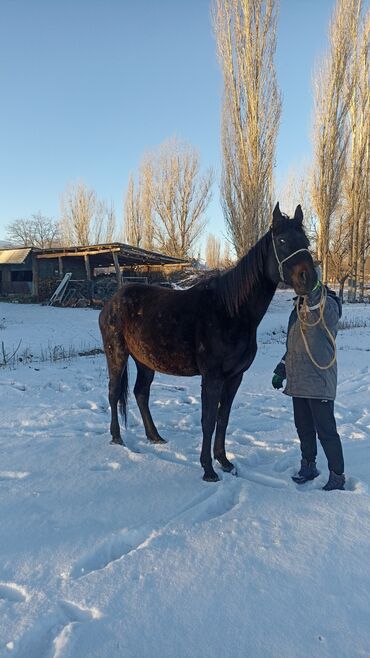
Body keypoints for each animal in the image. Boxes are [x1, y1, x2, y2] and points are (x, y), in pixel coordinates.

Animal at [98, 202, 316, 480]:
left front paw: (224, 461)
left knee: (140, 393)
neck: (231, 312)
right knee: (114, 392)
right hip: (116, 354)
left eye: (306, 242)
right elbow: (209, 420)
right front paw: (208, 469)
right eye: (282, 240)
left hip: (145, 361)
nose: (309, 279)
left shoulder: (235, 377)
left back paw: (155, 436)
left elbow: (223, 418)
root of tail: (111, 302)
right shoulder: (212, 377)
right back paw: (117, 438)